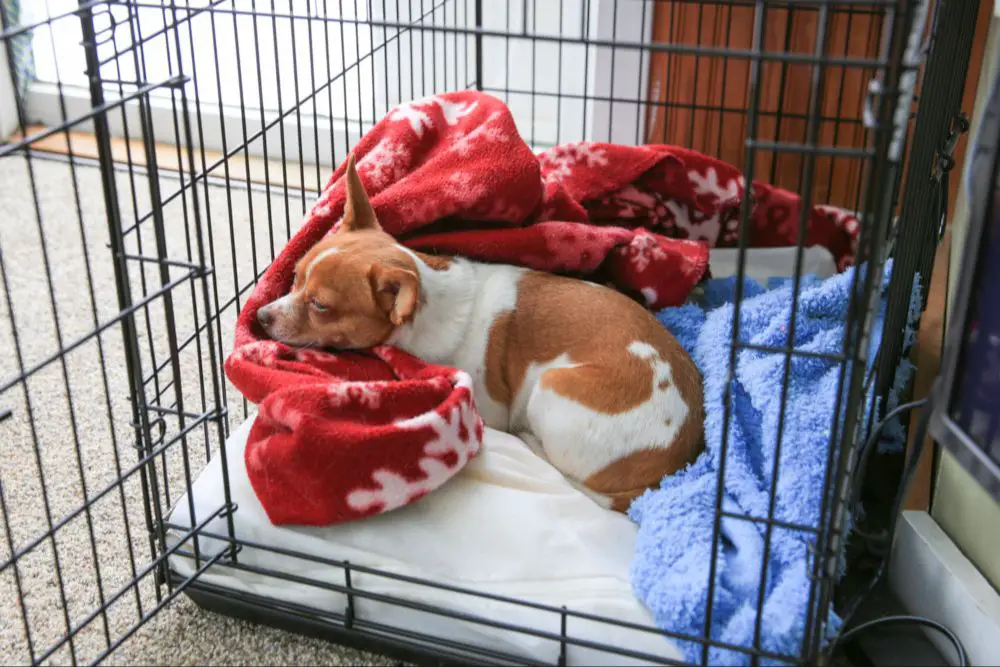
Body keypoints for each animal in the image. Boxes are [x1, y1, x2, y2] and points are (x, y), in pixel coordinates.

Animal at [260, 157, 712, 512]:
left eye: (320, 306)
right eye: (295, 276)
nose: (262, 316)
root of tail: (670, 464)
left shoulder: (489, 405)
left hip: (552, 389)